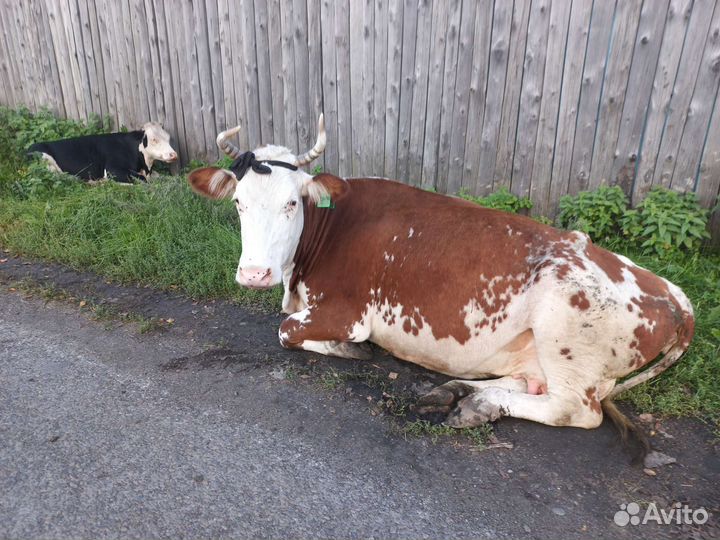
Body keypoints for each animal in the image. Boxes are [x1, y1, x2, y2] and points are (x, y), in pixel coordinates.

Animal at [28, 122, 178, 183]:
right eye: (154, 140)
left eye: (168, 138)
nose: (174, 155)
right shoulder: (112, 169)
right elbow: (143, 180)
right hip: (46, 162)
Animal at [187, 115, 694, 455]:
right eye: (238, 203)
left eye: (292, 203)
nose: (254, 274)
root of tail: (670, 292)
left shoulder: (347, 313)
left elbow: (286, 330)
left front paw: (350, 351)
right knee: (528, 384)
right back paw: (465, 397)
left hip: (568, 338)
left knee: (574, 409)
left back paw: (476, 401)